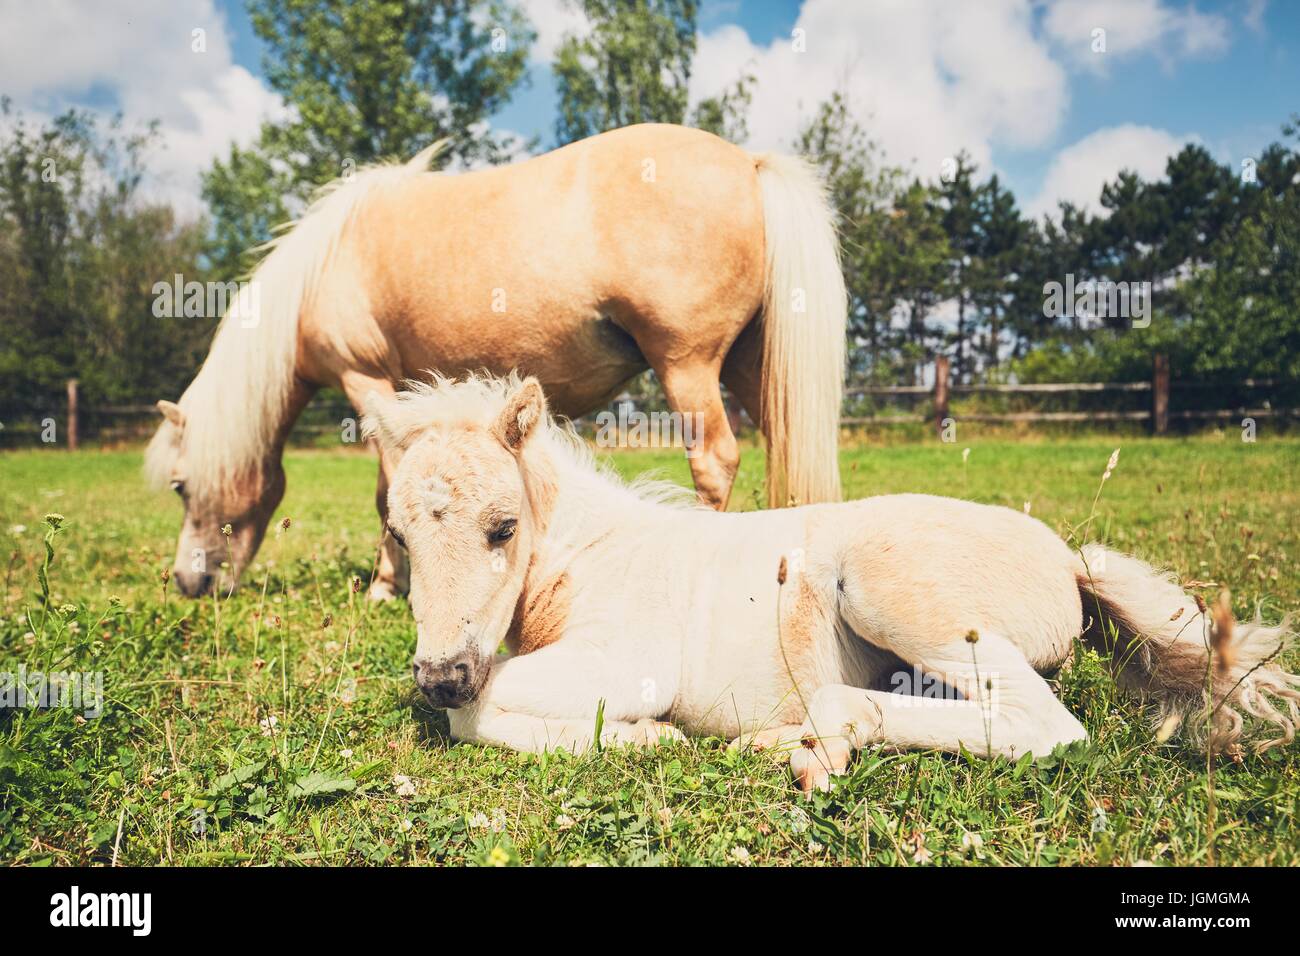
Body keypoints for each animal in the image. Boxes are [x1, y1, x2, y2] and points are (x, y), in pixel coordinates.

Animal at [147, 121, 847, 598]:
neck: (326, 265)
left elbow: (387, 487)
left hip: (689, 367)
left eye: (181, 486)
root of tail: (748, 163)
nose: (187, 582)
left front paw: (385, 586)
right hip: (751, 371)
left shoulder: (365, 382)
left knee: (714, 461)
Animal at [364, 371, 1300, 790]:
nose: (440, 674)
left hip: (891, 591)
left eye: (503, 527)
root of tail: (1071, 561)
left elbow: (477, 716)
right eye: (398, 537)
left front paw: (643, 737)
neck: (590, 557)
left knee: (1041, 725)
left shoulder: (627, 662)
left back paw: (823, 736)